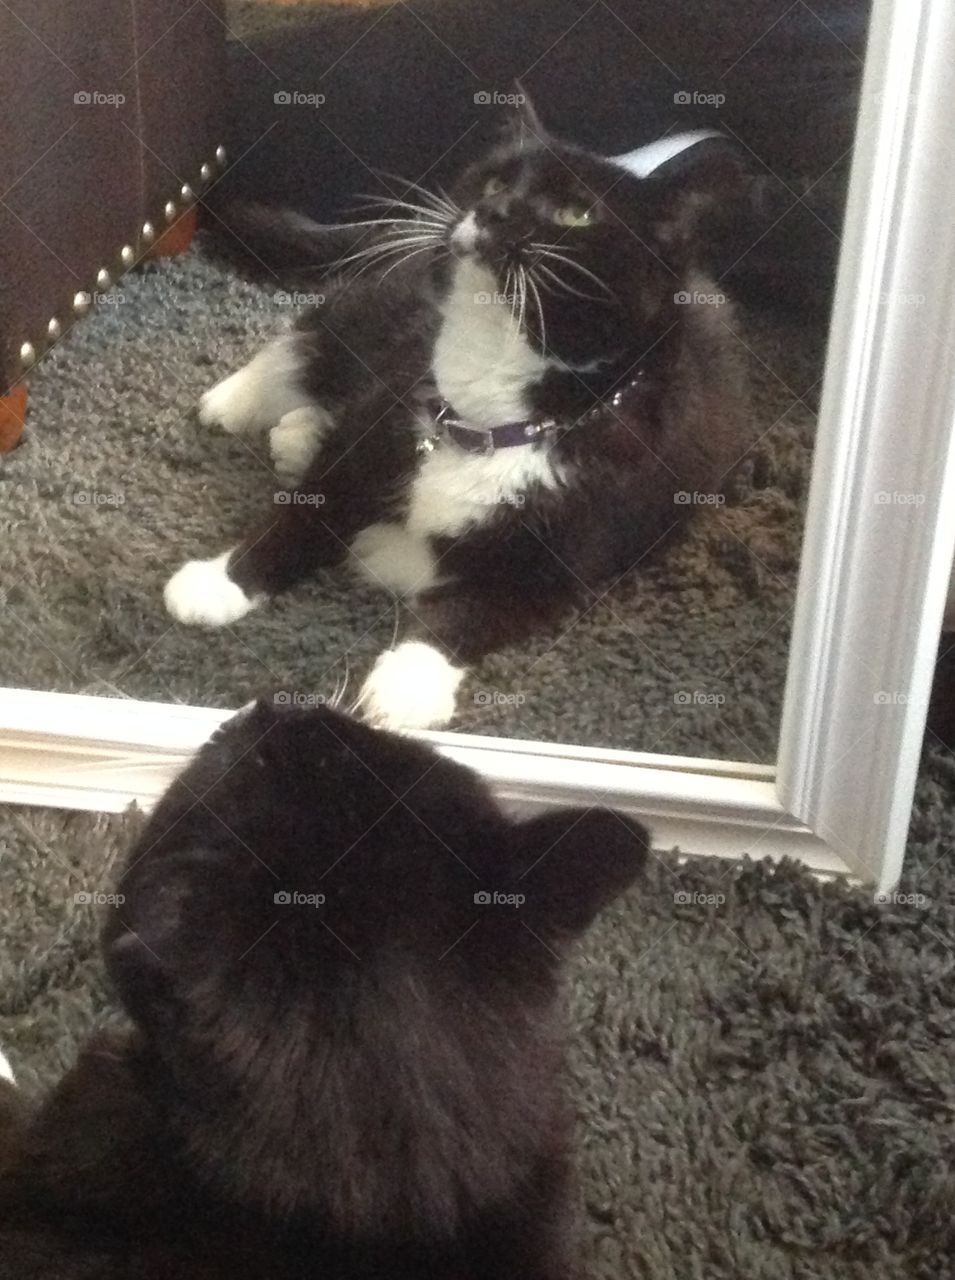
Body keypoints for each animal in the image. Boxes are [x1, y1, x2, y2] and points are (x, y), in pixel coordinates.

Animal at [168, 103, 752, 732]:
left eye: (575, 215)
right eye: (496, 183)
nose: (493, 211)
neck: (489, 416)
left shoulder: (569, 552)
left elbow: (477, 610)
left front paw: (404, 685)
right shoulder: (392, 408)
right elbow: (306, 511)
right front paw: (219, 582)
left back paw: (298, 435)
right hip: (394, 297)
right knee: (319, 338)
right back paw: (237, 403)